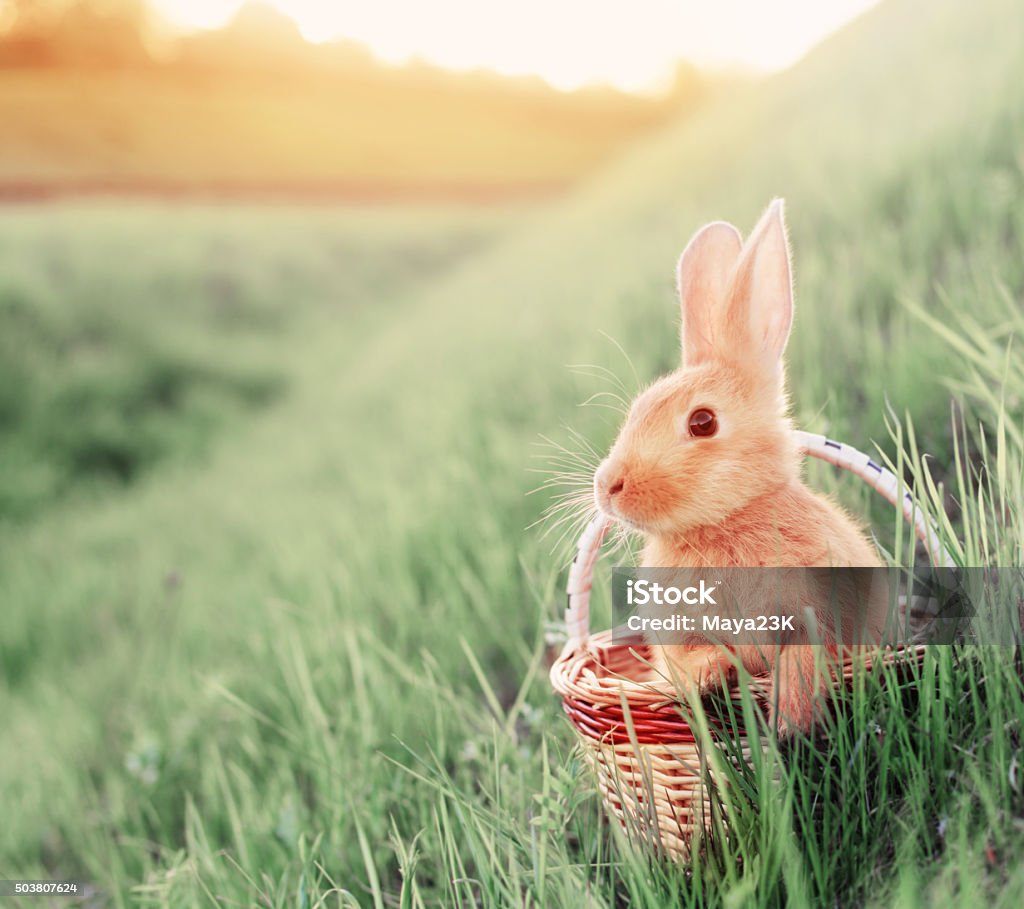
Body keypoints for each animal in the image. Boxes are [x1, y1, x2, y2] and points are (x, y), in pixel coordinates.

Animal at [593, 200, 888, 737]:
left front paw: (791, 719)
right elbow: (695, 658)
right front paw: (707, 677)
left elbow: (808, 653)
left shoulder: (818, 615)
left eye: (702, 421)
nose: (607, 486)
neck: (722, 524)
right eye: (637, 409)